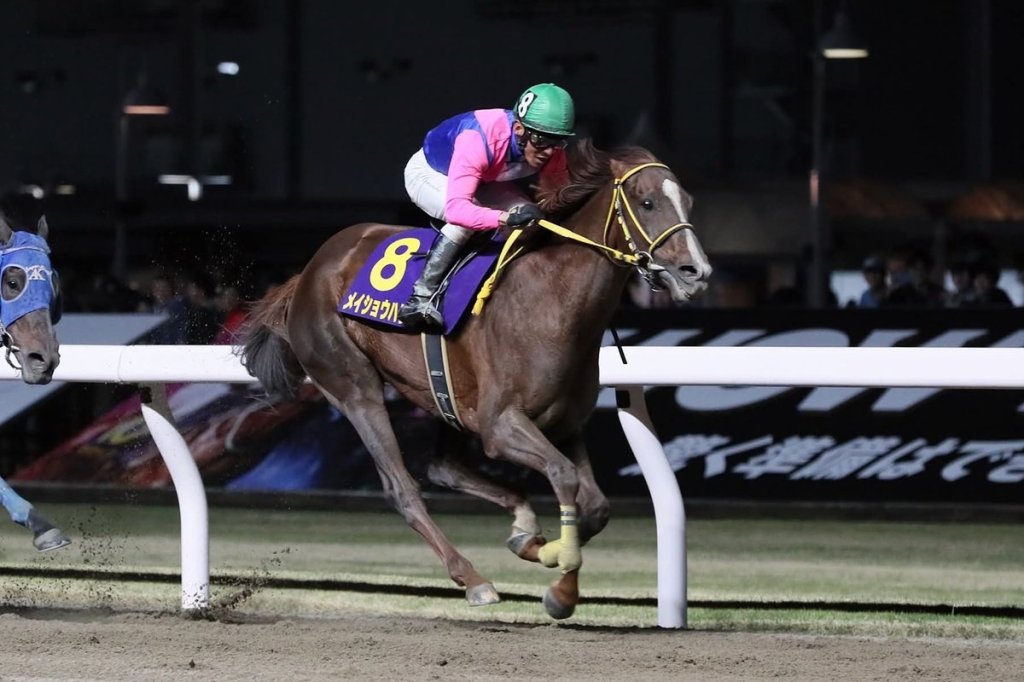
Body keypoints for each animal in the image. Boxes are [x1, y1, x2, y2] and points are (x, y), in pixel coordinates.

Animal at [239, 139, 711, 618]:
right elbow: (564, 476)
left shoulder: (562, 422)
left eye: (688, 201)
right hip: (354, 386)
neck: (552, 299)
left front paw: (538, 546)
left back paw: (520, 530)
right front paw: (562, 589)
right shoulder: (501, 424)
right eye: (647, 202)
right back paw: (473, 579)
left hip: (445, 396)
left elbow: (595, 506)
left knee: (444, 468)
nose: (697, 273)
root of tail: (308, 270)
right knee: (402, 488)